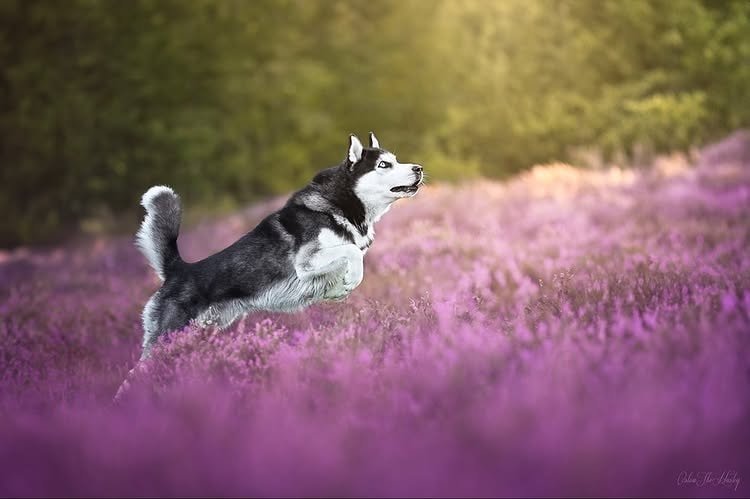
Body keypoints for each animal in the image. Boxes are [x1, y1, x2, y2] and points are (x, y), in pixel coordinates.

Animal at [132, 133, 420, 360]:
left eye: (396, 160)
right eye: (384, 164)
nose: (418, 168)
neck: (341, 205)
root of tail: (178, 270)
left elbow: (352, 259)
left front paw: (340, 289)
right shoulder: (306, 262)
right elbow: (351, 253)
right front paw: (350, 281)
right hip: (168, 338)